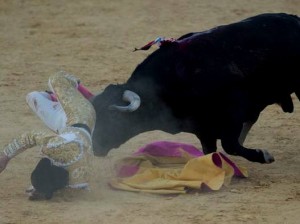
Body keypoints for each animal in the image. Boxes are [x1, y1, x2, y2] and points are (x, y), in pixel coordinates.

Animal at [91, 12, 300, 163]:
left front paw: (264, 156)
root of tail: (294, 19)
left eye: (114, 117)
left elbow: (230, 144)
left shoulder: (234, 110)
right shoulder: (203, 129)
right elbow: (211, 151)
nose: (95, 147)